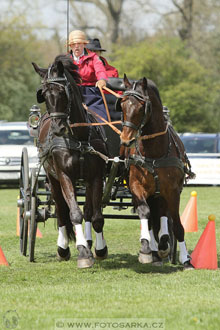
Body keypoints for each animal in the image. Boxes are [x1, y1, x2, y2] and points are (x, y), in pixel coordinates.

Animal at [32, 55, 108, 268]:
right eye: (43, 94)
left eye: (61, 92)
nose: (57, 128)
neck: (79, 137)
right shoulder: (64, 175)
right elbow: (73, 214)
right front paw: (82, 253)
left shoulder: (96, 176)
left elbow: (96, 216)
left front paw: (99, 249)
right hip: (53, 179)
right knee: (61, 212)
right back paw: (63, 249)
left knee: (88, 211)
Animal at [119, 74, 193, 268]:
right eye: (122, 104)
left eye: (141, 106)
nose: (126, 140)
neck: (154, 151)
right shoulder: (137, 187)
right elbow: (145, 214)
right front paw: (147, 249)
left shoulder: (172, 191)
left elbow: (176, 224)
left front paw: (185, 259)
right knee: (151, 219)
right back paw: (154, 251)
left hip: (161, 194)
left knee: (163, 216)